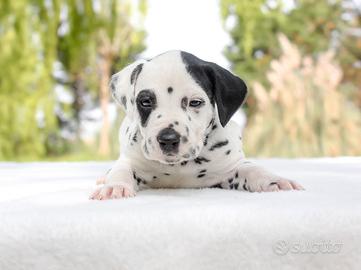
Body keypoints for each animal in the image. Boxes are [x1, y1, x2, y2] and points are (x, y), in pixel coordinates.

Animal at [89, 50, 300, 199]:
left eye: (195, 102)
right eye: (146, 102)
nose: (168, 139)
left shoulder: (232, 167)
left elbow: (253, 169)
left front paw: (275, 181)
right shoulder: (131, 160)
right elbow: (121, 170)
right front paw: (114, 186)